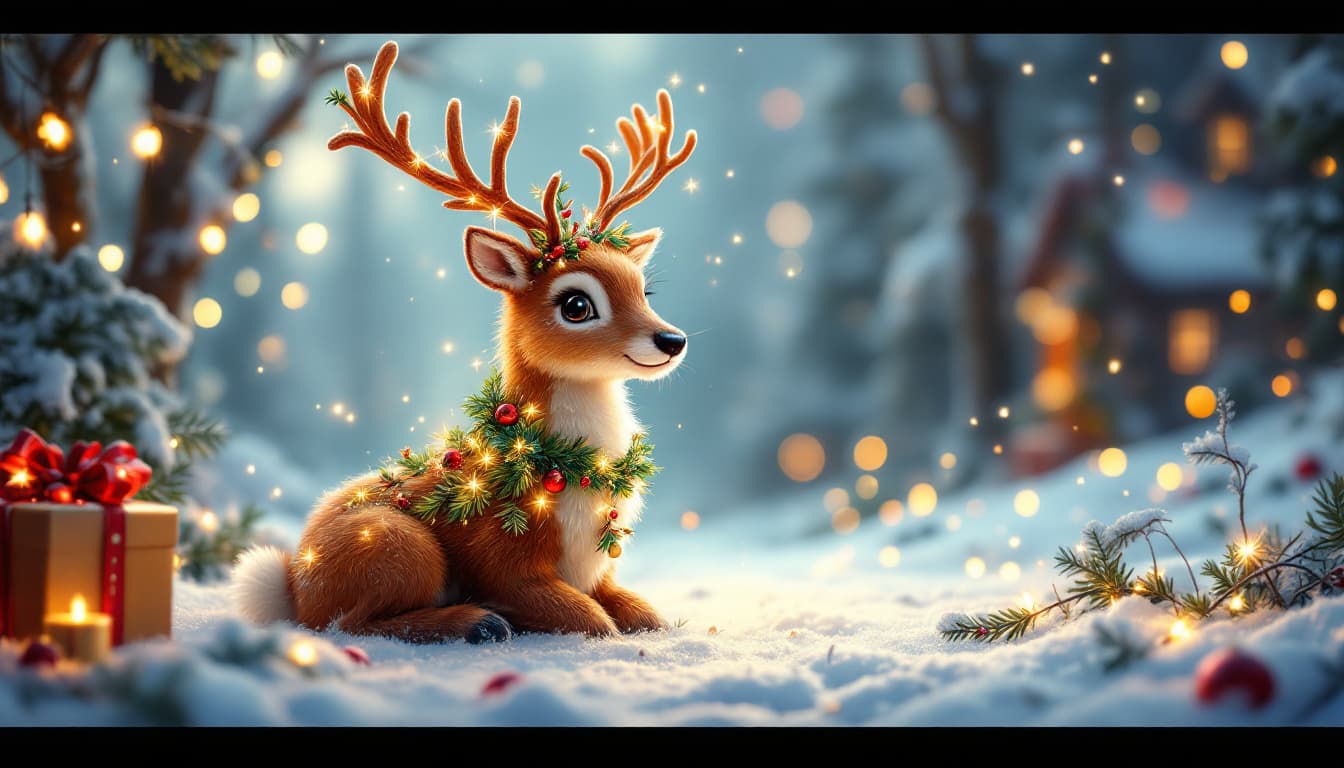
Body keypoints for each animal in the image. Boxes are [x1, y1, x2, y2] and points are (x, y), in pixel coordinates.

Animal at [231, 41, 696, 643]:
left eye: (644, 289)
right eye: (576, 305)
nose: (672, 339)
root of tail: (293, 581)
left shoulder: (602, 570)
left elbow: (641, 612)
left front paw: (654, 623)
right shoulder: (506, 562)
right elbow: (591, 621)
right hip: (400, 545)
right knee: (350, 624)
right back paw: (479, 622)